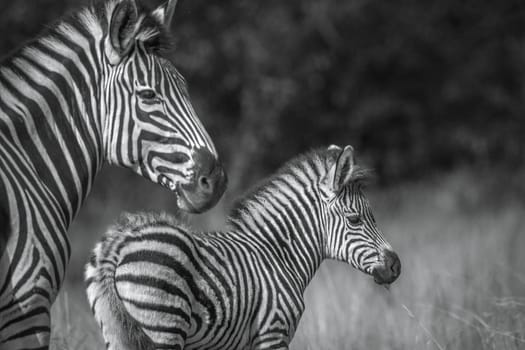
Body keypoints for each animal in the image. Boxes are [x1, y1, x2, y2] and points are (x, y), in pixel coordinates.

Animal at [86, 145, 400, 350]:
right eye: (355, 219)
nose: (395, 266)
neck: (278, 256)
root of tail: (120, 244)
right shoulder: (273, 332)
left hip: (116, 331)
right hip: (165, 325)